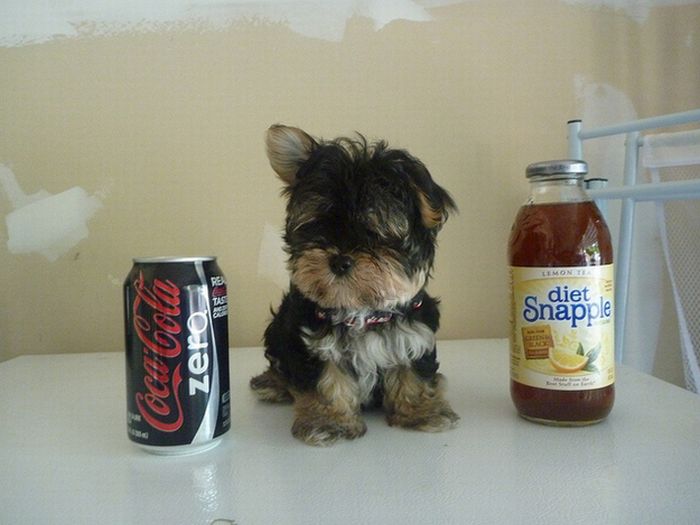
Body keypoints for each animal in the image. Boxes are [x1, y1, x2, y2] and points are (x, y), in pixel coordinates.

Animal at [252, 125, 460, 444]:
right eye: (318, 225)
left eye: (374, 231)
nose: (339, 260)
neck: (362, 310)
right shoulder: (315, 343)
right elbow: (327, 381)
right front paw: (328, 422)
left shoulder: (414, 333)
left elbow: (413, 370)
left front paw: (421, 412)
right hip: (279, 329)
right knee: (279, 360)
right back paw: (272, 383)